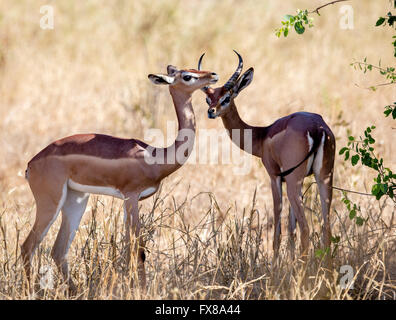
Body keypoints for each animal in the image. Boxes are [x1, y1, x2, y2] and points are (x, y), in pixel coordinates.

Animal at [21, 63, 220, 292]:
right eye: (187, 76)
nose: (213, 75)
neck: (155, 157)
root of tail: (31, 164)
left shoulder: (128, 201)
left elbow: (129, 247)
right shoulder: (131, 196)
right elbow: (138, 249)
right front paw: (142, 290)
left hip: (76, 201)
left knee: (58, 250)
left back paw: (75, 291)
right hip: (50, 203)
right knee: (28, 246)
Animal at [198, 50, 334, 260]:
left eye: (226, 98)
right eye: (208, 98)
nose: (211, 111)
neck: (261, 135)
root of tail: (317, 128)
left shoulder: (275, 177)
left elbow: (279, 229)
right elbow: (291, 230)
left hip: (294, 182)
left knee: (306, 229)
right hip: (324, 177)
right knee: (326, 228)